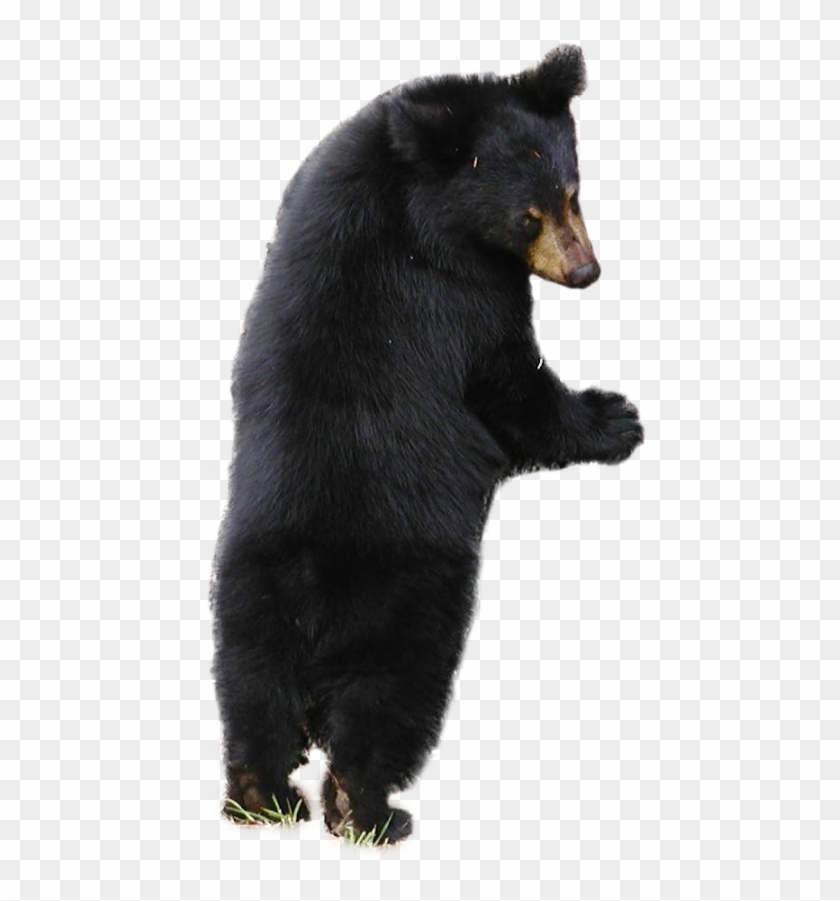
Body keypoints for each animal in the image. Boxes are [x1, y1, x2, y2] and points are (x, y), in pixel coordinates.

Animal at [211, 45, 643, 845]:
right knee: (387, 705)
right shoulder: (458, 291)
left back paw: (261, 797)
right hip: (410, 603)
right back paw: (372, 812)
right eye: (527, 215)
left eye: (573, 191)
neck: (409, 183)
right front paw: (616, 416)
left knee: (253, 699)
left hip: (248, 604)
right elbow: (512, 386)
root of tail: (315, 604)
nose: (586, 271)